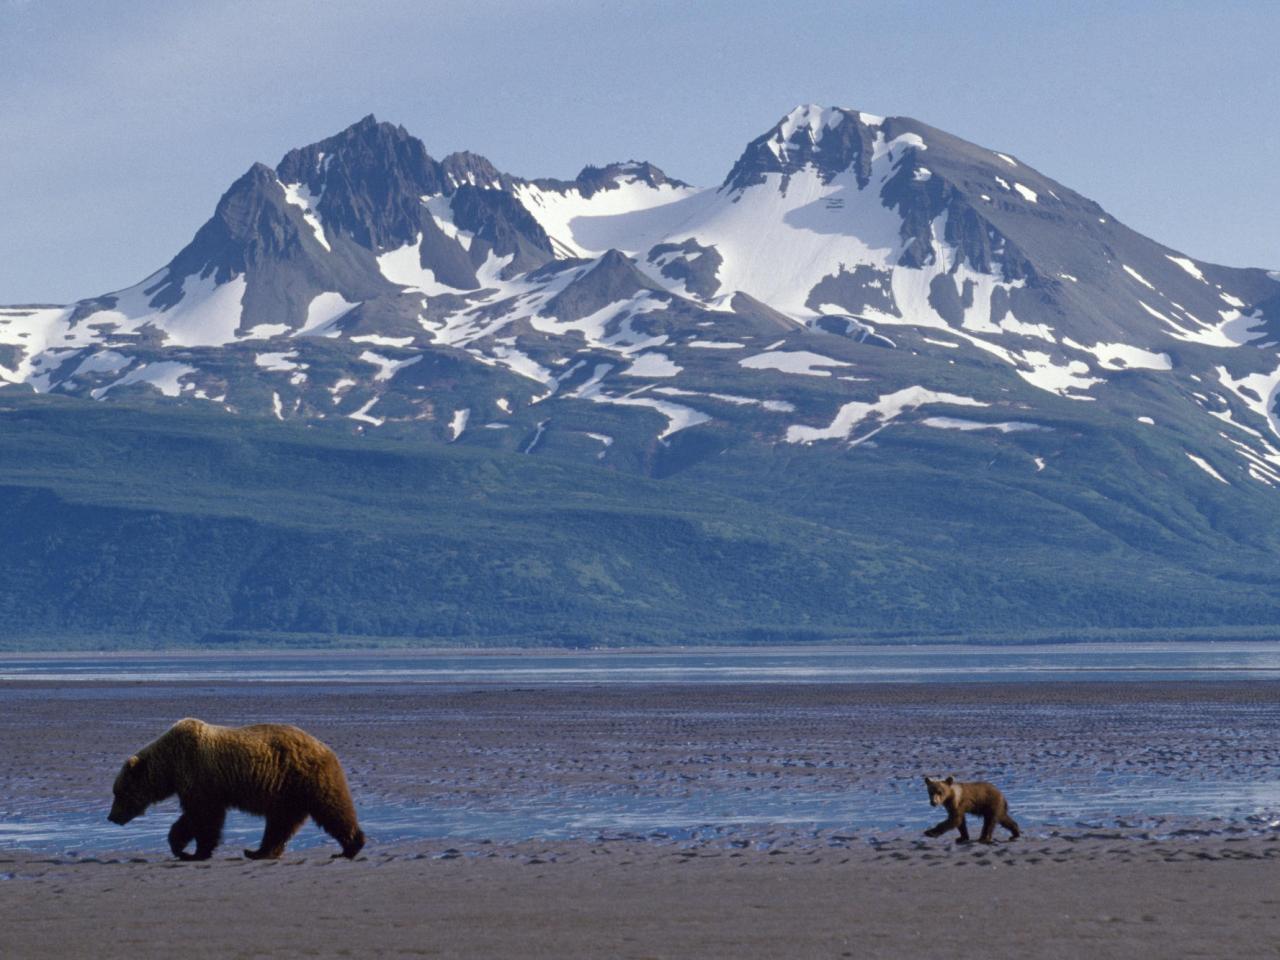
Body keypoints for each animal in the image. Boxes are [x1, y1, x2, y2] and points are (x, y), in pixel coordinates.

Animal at [108, 716, 366, 865]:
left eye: (118, 792)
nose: (111, 817)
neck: (170, 765)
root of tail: (324, 747)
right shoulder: (198, 784)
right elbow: (193, 818)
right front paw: (182, 847)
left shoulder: (200, 777)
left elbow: (203, 817)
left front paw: (194, 852)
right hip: (288, 792)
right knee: (280, 823)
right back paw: (258, 851)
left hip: (306, 779)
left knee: (332, 809)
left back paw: (349, 847)